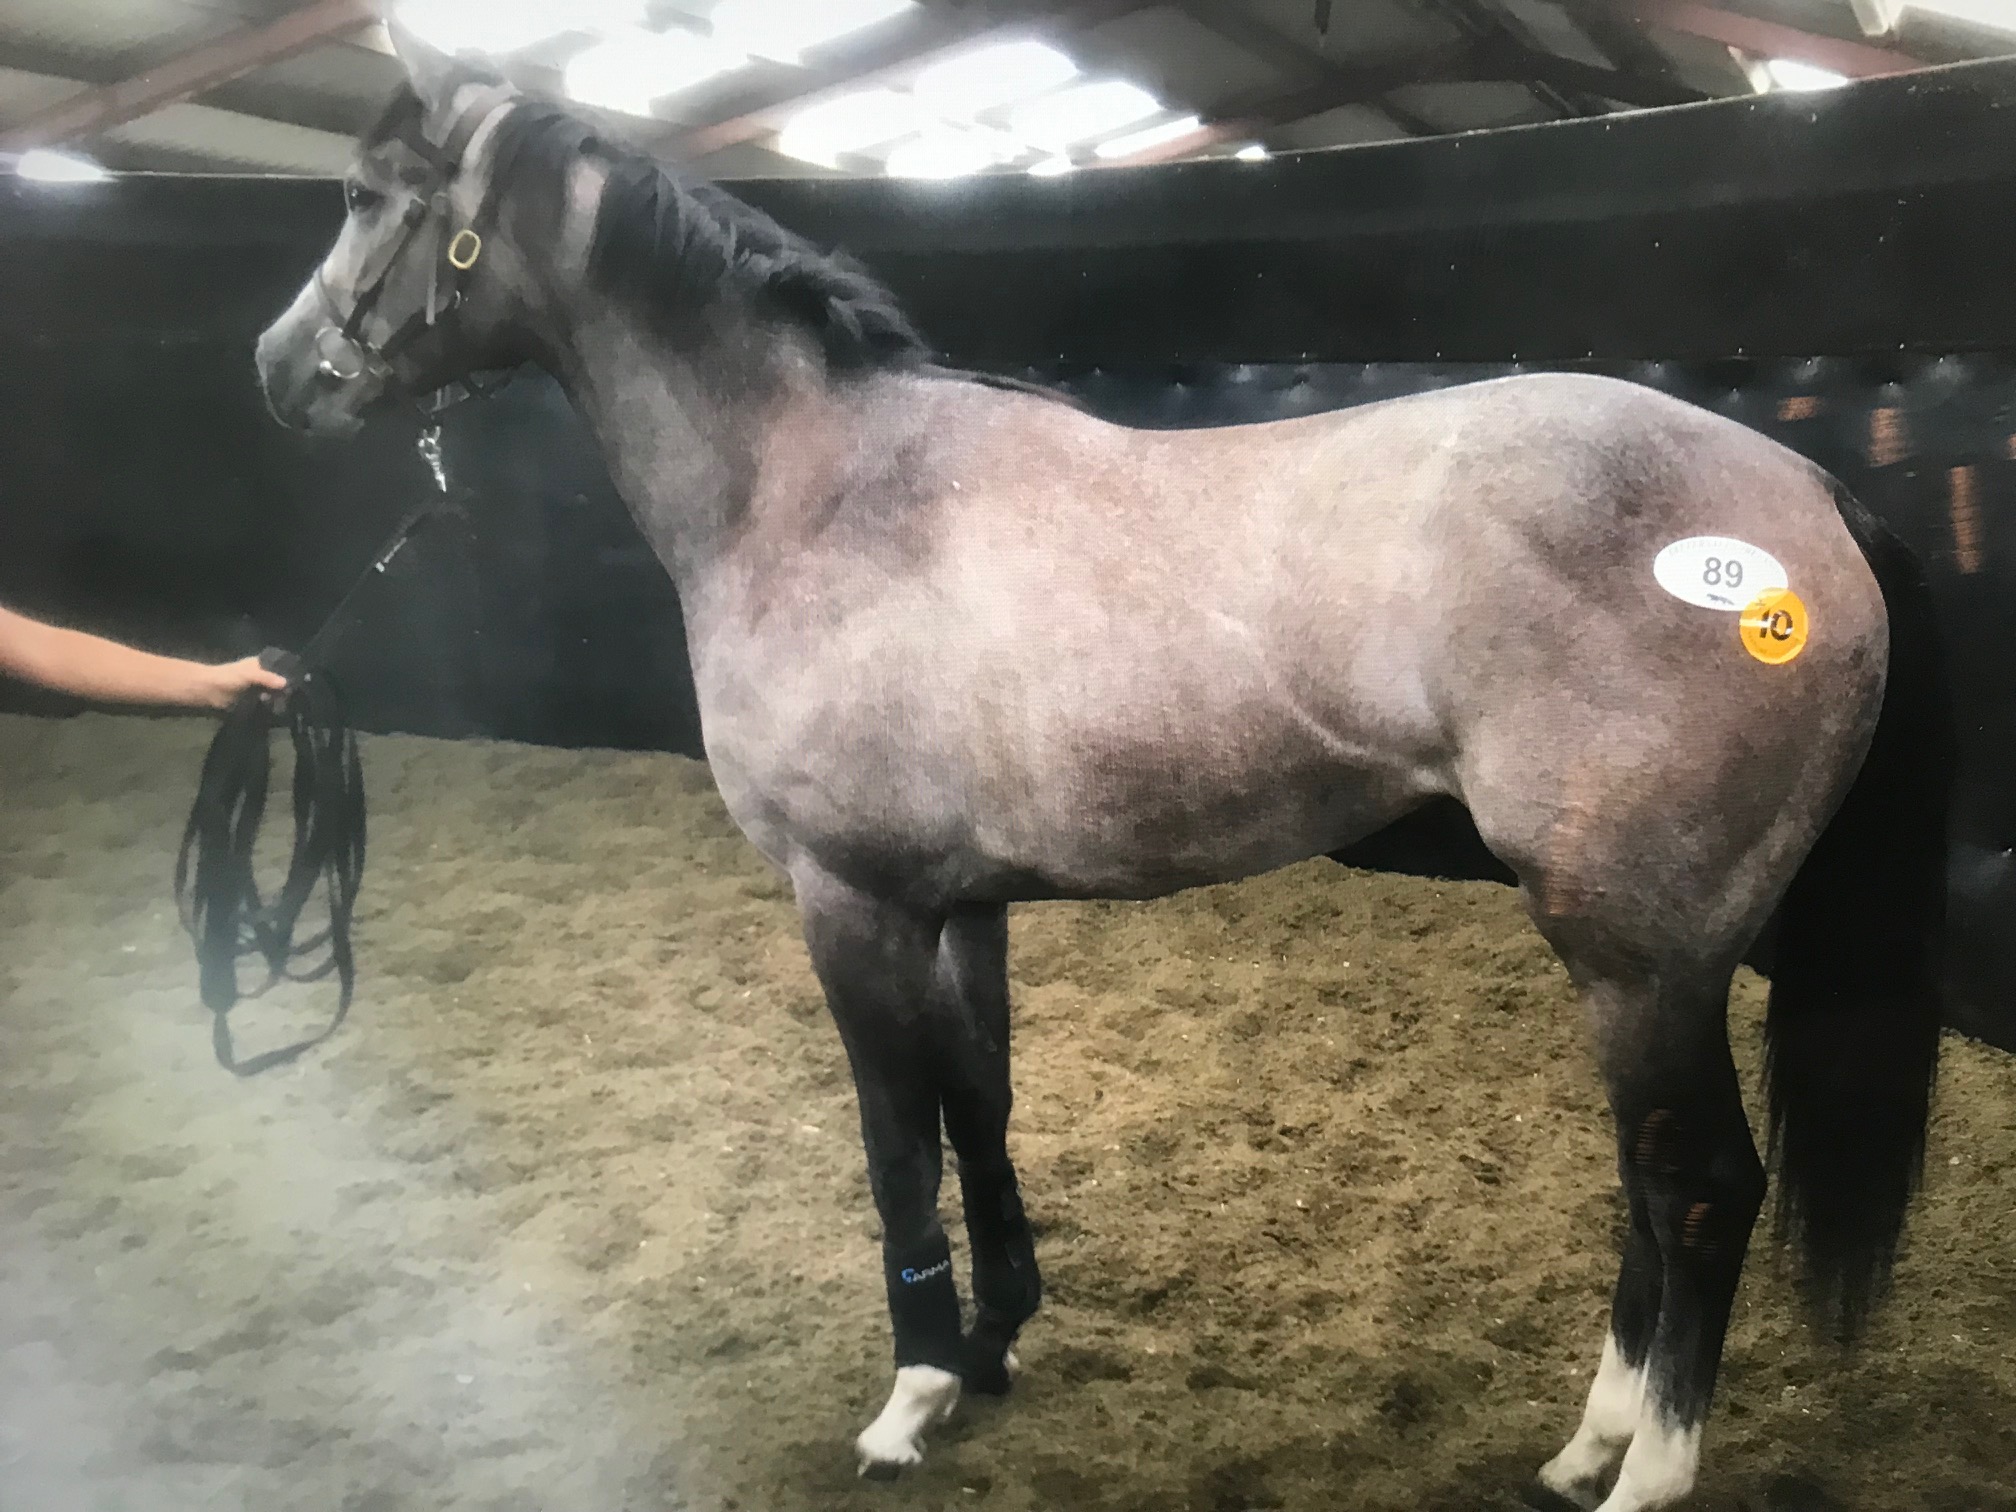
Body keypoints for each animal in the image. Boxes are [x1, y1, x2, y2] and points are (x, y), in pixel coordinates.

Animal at [252, 30, 1953, 1512]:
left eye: (366, 194)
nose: (280, 371)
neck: (818, 493)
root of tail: (1808, 488)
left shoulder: (847, 901)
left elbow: (894, 1141)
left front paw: (912, 1396)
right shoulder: (958, 904)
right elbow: (979, 1105)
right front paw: (998, 1341)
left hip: (1641, 954)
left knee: (1701, 1191)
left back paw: (1646, 1474)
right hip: (1637, 967)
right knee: (1646, 1191)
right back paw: (1586, 1444)